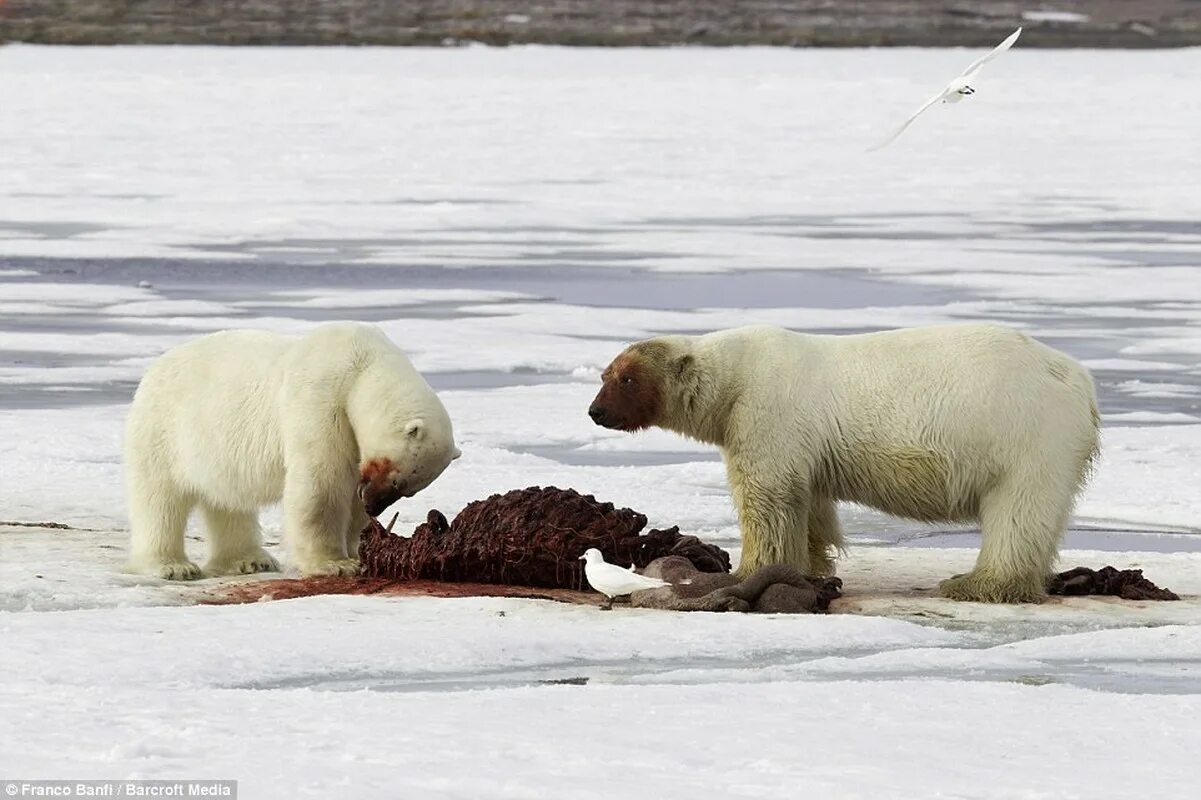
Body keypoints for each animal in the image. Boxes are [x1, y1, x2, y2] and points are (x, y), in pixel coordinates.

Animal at [123, 321, 458, 578]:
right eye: (396, 477)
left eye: (407, 491)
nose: (374, 506)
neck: (361, 365)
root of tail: (154, 368)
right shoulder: (320, 399)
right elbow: (322, 484)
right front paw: (335, 564)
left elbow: (349, 493)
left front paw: (355, 552)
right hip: (163, 429)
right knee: (160, 499)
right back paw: (172, 566)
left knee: (228, 500)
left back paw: (249, 560)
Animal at [586, 321, 1100, 600]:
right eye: (605, 374)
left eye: (627, 379)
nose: (596, 412)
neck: (734, 378)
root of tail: (1080, 381)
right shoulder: (802, 443)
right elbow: (808, 499)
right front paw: (812, 566)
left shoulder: (766, 412)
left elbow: (767, 495)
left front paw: (746, 571)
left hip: (1023, 432)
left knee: (1017, 511)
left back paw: (976, 583)